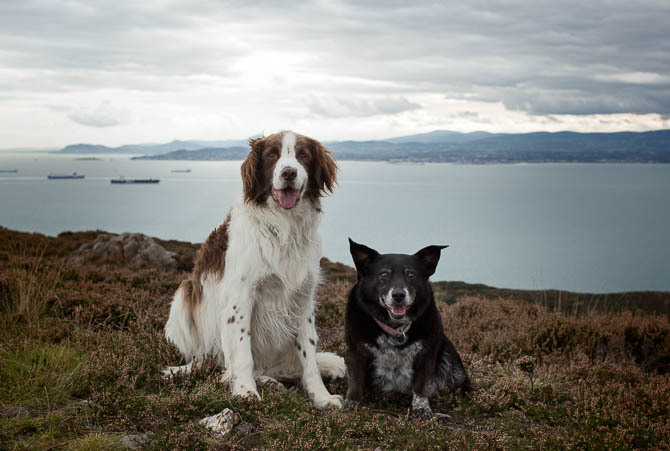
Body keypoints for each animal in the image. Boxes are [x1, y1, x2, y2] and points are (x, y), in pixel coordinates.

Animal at [165, 131, 346, 410]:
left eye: (303, 155)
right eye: (272, 155)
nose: (289, 173)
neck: (284, 228)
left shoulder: (303, 300)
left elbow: (309, 357)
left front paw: (321, 397)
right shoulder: (240, 298)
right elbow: (242, 353)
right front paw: (245, 391)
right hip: (183, 298)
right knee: (214, 363)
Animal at [346, 240, 472, 420]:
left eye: (411, 275)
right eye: (384, 274)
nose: (399, 295)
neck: (394, 328)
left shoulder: (426, 356)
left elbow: (420, 386)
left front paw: (421, 408)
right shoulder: (355, 352)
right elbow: (355, 381)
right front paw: (352, 403)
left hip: (449, 355)